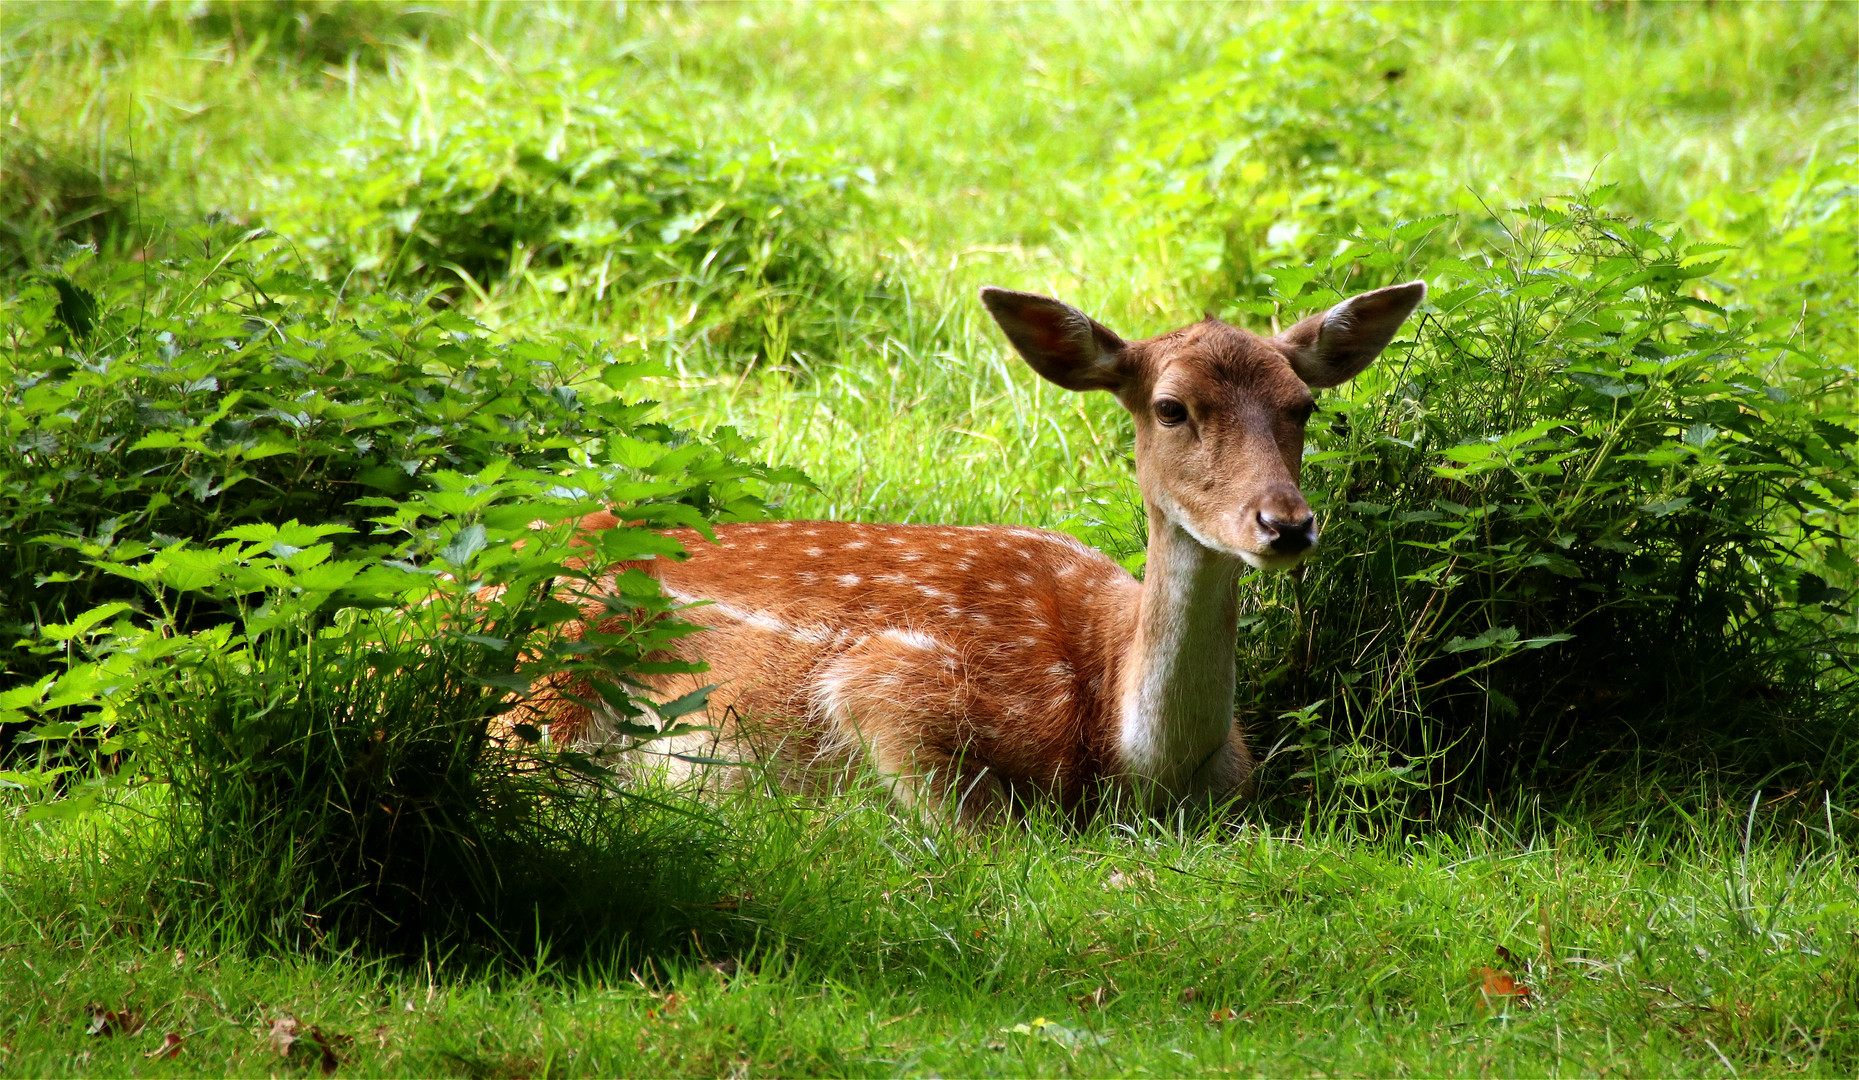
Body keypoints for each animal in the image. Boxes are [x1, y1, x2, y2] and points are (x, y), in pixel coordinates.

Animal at [531, 278, 1427, 817]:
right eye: (1171, 408)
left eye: (1303, 405)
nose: (1285, 524)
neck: (1134, 757)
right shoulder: (893, 680)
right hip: (546, 672)